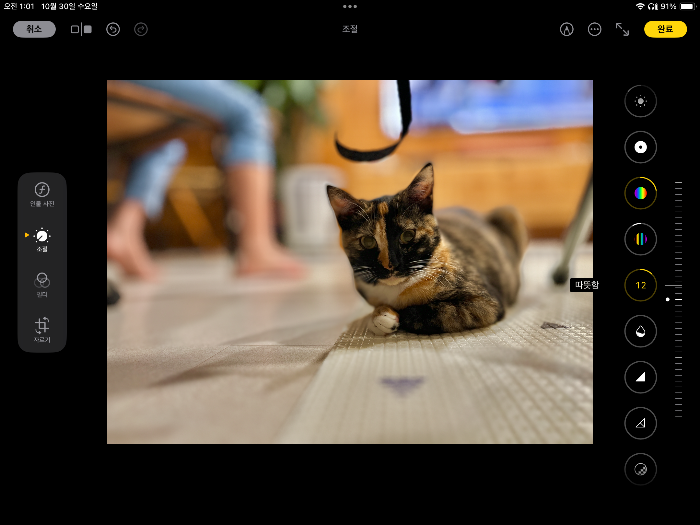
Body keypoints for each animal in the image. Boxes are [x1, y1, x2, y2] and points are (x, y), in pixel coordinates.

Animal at [326, 163, 528, 335]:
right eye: (368, 241)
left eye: (407, 235)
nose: (390, 265)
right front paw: (379, 316)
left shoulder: (484, 303)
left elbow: (435, 312)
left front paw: (389, 317)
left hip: (508, 214)